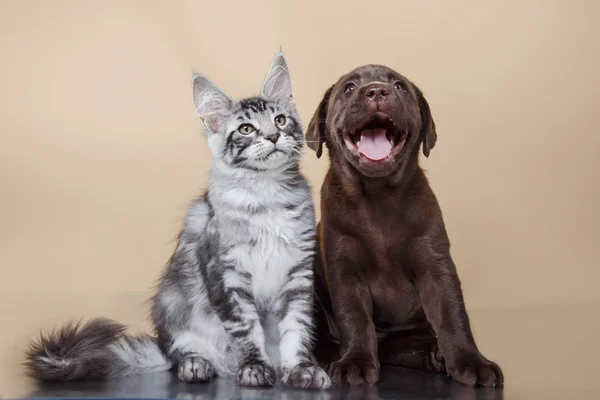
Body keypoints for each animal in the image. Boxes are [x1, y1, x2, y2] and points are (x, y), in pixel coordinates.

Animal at [23, 51, 330, 390]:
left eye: (280, 120)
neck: (267, 196)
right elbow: (246, 330)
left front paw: (302, 368)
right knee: (180, 353)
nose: (274, 136)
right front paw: (254, 368)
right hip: (172, 305)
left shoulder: (298, 274)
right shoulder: (226, 275)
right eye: (246, 129)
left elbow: (296, 329)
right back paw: (197, 365)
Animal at [308, 65, 504, 388]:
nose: (377, 91)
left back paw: (436, 355)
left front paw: (472, 361)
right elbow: (353, 316)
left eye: (399, 86)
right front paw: (354, 362)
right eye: (349, 88)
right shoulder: (344, 268)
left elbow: (453, 313)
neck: (377, 195)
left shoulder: (435, 265)